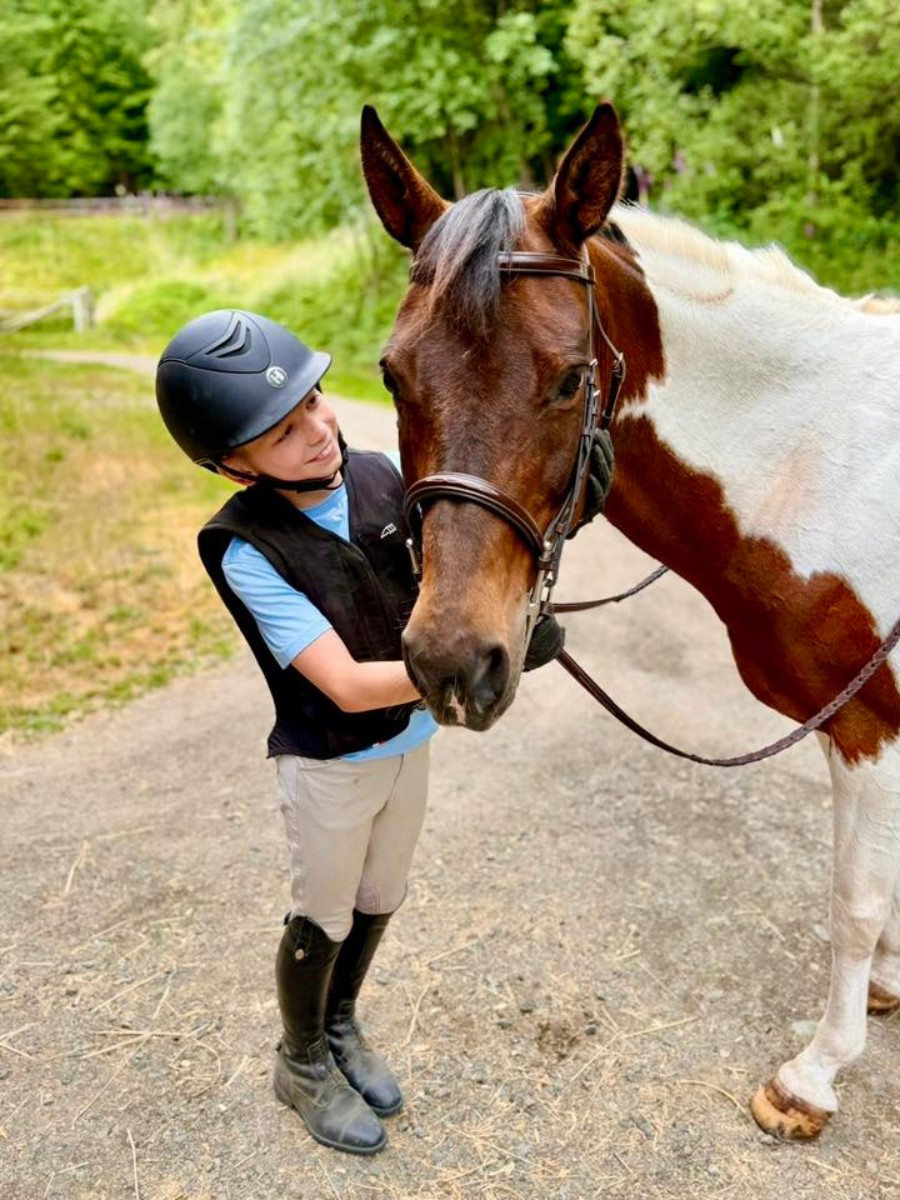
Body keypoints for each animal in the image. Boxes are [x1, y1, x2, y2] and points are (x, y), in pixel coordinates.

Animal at [359, 102, 900, 1140]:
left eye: (573, 380)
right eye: (393, 375)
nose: (452, 661)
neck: (827, 464)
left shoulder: (871, 727)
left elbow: (854, 901)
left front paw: (815, 1075)